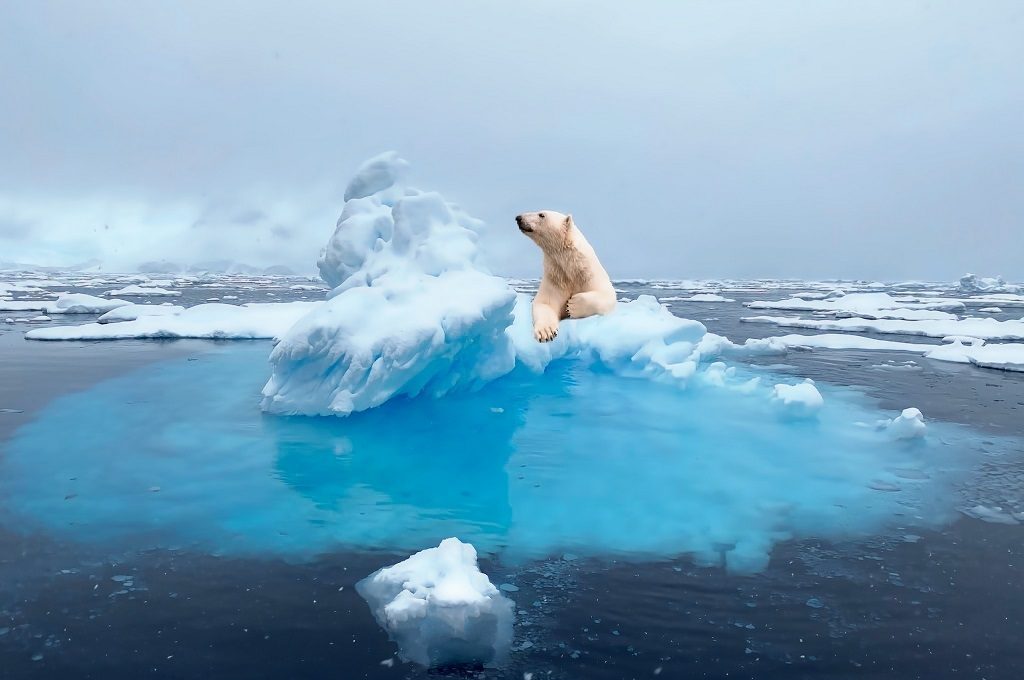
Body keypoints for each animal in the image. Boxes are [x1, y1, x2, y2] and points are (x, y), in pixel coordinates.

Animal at [520, 210, 614, 342]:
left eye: (541, 214)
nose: (518, 218)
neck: (571, 269)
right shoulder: (555, 278)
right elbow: (545, 303)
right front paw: (546, 332)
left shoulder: (589, 274)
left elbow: (607, 295)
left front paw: (573, 305)